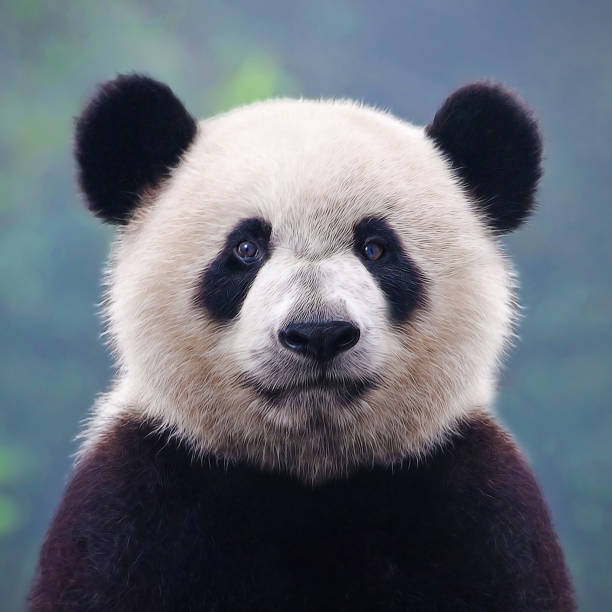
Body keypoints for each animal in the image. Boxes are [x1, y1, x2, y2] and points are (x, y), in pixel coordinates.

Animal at [27, 74, 572, 608]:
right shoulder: (140, 497)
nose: (319, 333)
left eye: (377, 248)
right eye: (246, 248)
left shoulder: (471, 502)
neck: (307, 470)